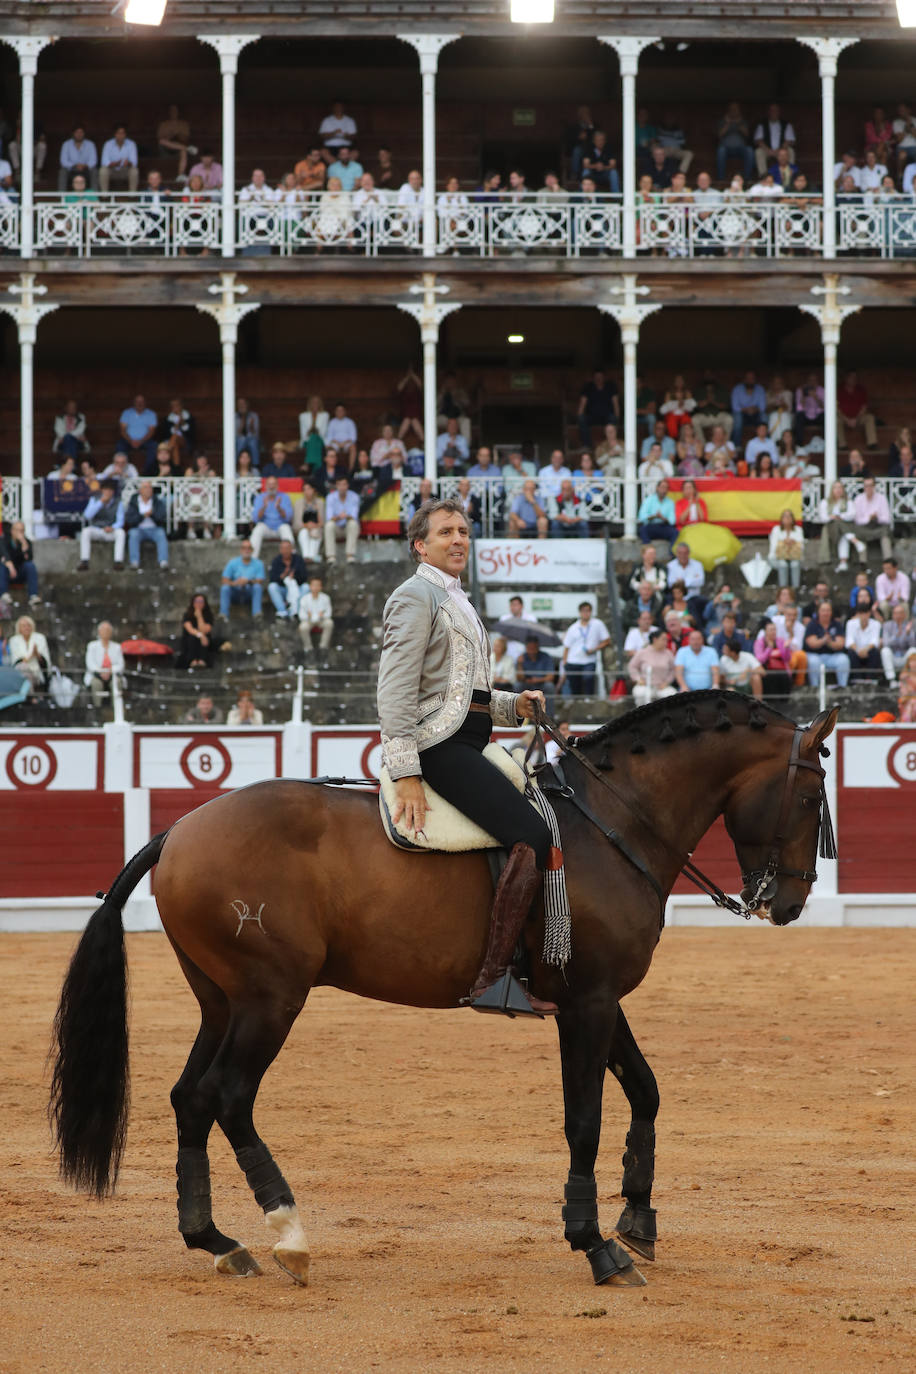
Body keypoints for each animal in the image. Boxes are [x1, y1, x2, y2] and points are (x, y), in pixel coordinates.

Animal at [48, 692, 840, 1291]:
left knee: (189, 1098)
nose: (788, 903)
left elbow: (644, 1091)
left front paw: (637, 1223)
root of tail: (180, 828)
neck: (609, 826)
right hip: (271, 1000)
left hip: (221, 1002)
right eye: (809, 795)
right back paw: (289, 1234)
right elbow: (583, 1119)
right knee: (228, 1097)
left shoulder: (602, 998)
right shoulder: (584, 1005)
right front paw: (595, 1245)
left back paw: (215, 1240)